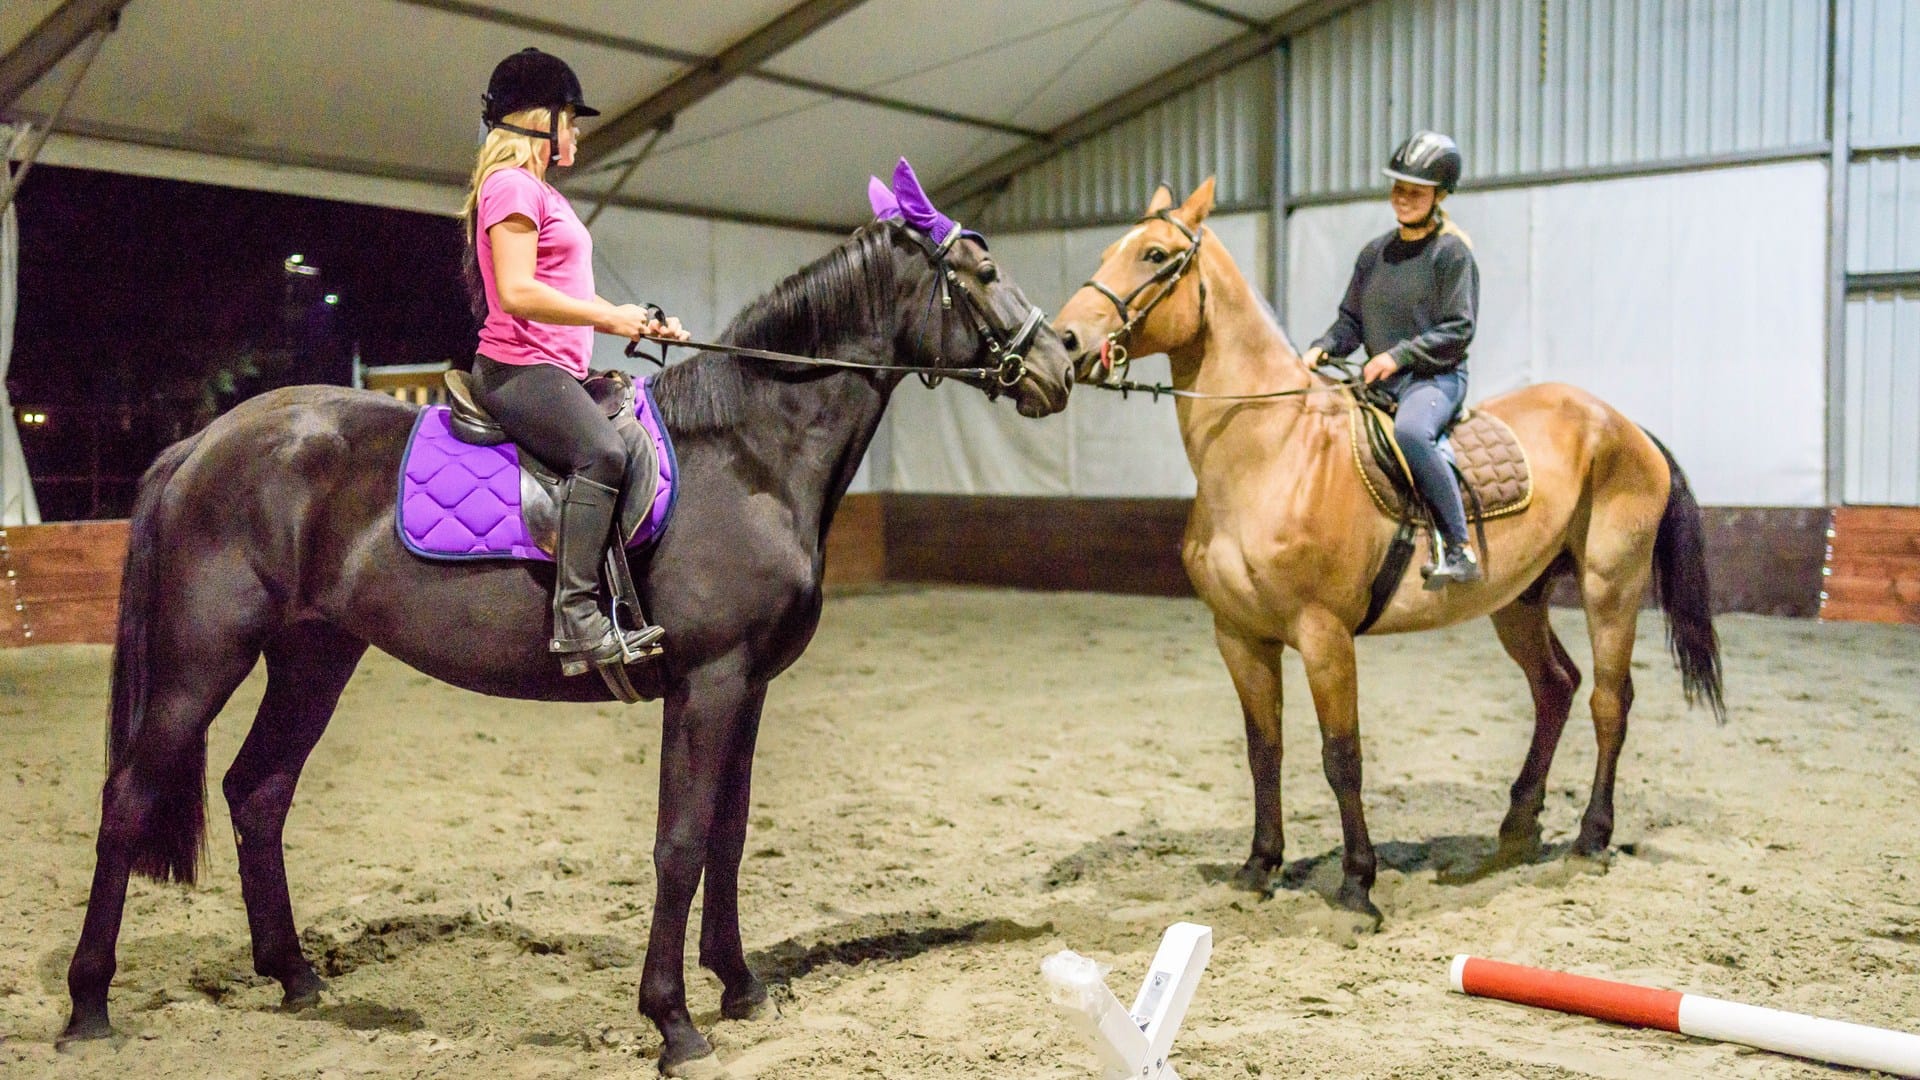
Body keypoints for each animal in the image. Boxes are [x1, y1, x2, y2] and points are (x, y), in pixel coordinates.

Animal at [60, 217, 1073, 1076]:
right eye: (981, 272)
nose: (1060, 362)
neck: (747, 454)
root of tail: (200, 446)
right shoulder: (708, 683)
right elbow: (680, 843)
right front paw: (674, 1022)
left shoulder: (748, 687)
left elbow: (730, 836)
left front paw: (741, 986)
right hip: (202, 658)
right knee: (127, 798)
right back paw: (88, 1006)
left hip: (314, 657)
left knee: (258, 792)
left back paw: (295, 976)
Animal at [1052, 179, 1723, 926]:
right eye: (1107, 252)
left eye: (1154, 254)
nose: (1065, 339)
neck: (1272, 452)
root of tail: (1624, 425)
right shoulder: (1240, 635)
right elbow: (1264, 751)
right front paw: (1258, 867)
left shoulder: (1324, 637)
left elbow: (1341, 757)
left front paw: (1357, 886)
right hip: (1518, 602)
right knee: (1556, 688)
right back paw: (1517, 829)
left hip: (1612, 588)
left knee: (1610, 701)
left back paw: (1590, 839)